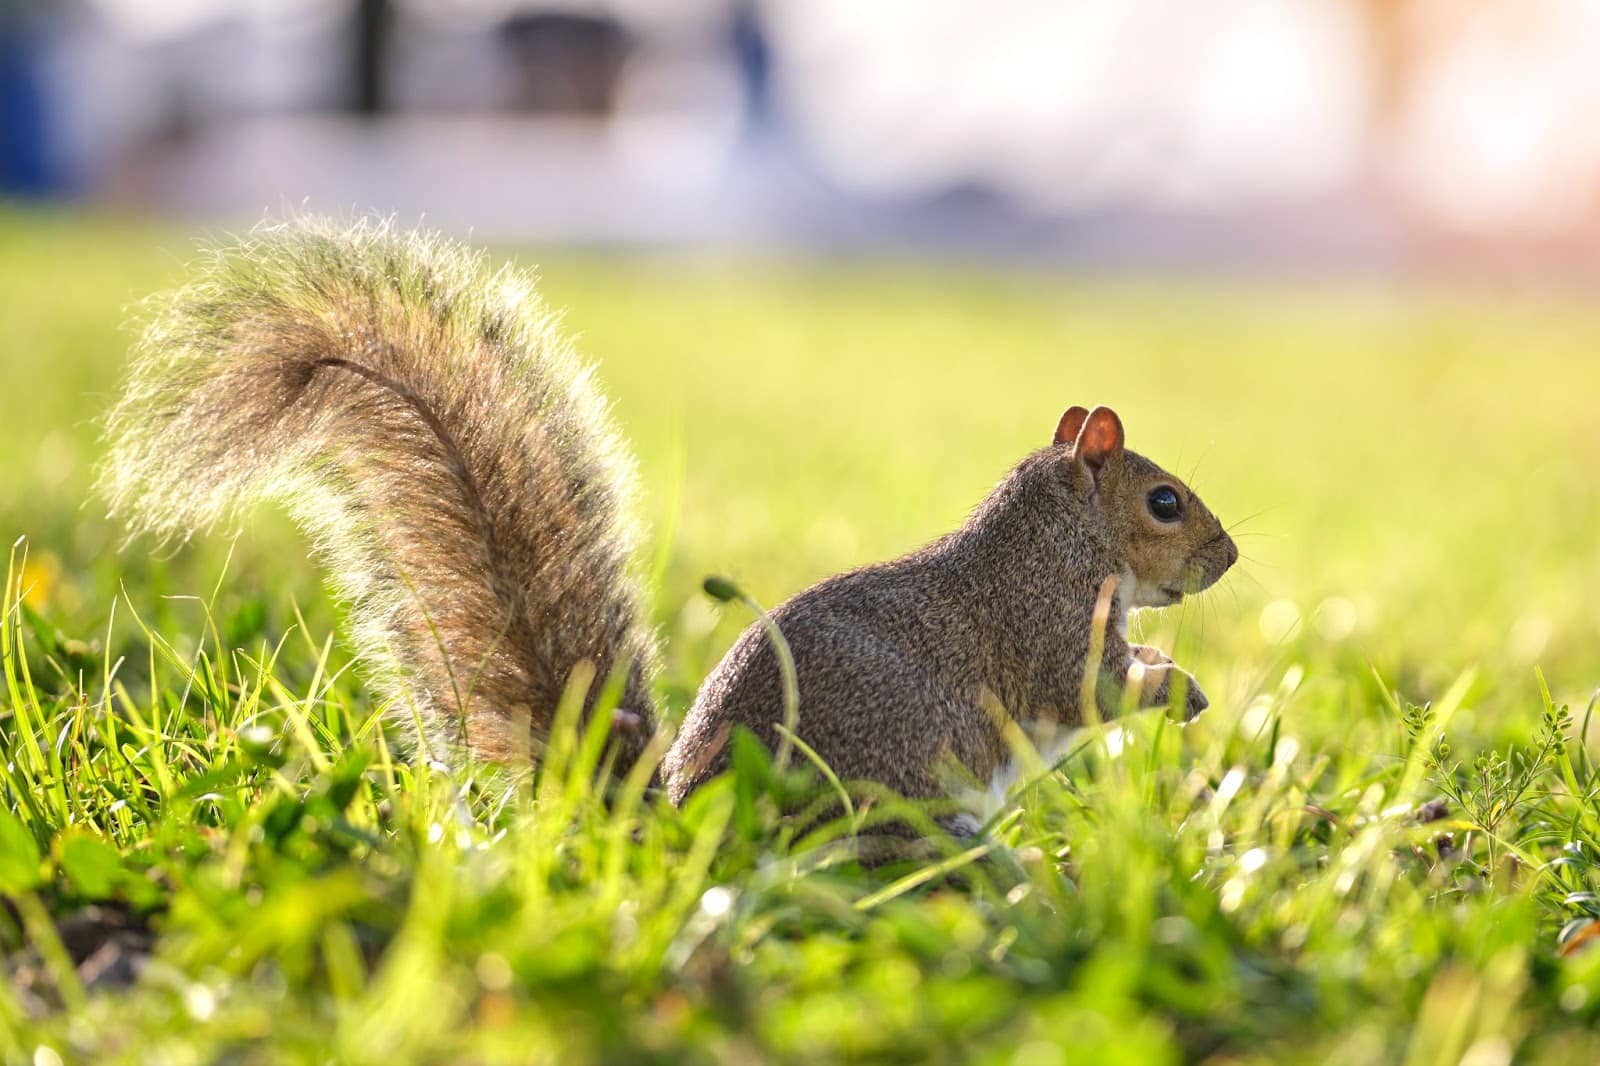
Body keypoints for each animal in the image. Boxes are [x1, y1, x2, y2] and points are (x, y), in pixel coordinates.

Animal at [103, 217, 1235, 806]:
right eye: (1164, 501)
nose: (1226, 559)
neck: (1062, 534)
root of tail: (675, 816)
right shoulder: (1046, 622)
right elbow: (1085, 687)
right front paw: (1174, 689)